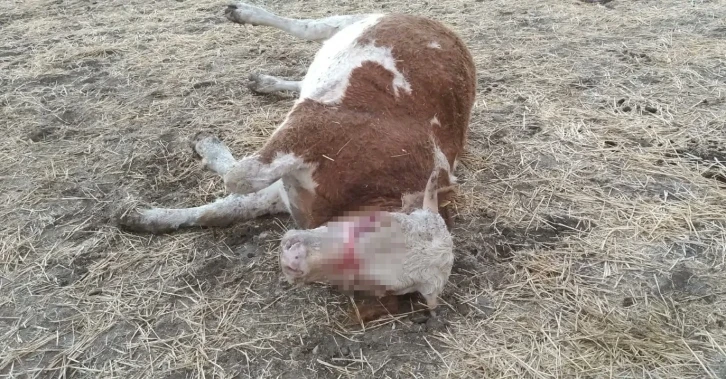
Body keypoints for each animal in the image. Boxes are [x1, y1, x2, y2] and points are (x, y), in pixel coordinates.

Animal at [121, 2, 478, 308]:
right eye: (375, 224)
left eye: (377, 285)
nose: (293, 260)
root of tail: (447, 30)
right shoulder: (313, 124)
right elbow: (240, 177)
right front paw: (207, 147)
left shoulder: (289, 191)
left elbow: (225, 209)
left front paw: (143, 217)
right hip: (353, 22)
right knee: (308, 28)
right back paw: (244, 13)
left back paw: (265, 81)